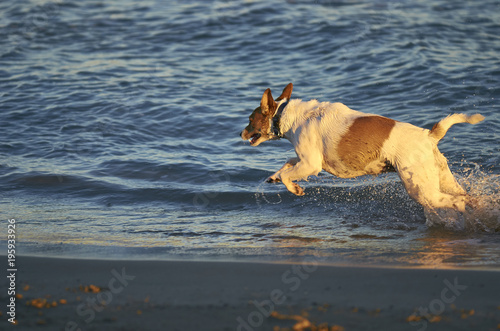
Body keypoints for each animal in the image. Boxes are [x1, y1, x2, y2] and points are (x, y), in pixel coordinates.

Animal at [241, 83, 484, 213]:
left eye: (250, 119)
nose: (240, 133)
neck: (285, 115)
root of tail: (429, 135)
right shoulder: (304, 161)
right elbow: (287, 165)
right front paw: (274, 176)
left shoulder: (311, 164)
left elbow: (289, 174)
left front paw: (294, 188)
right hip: (443, 177)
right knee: (465, 195)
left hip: (421, 189)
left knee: (455, 201)